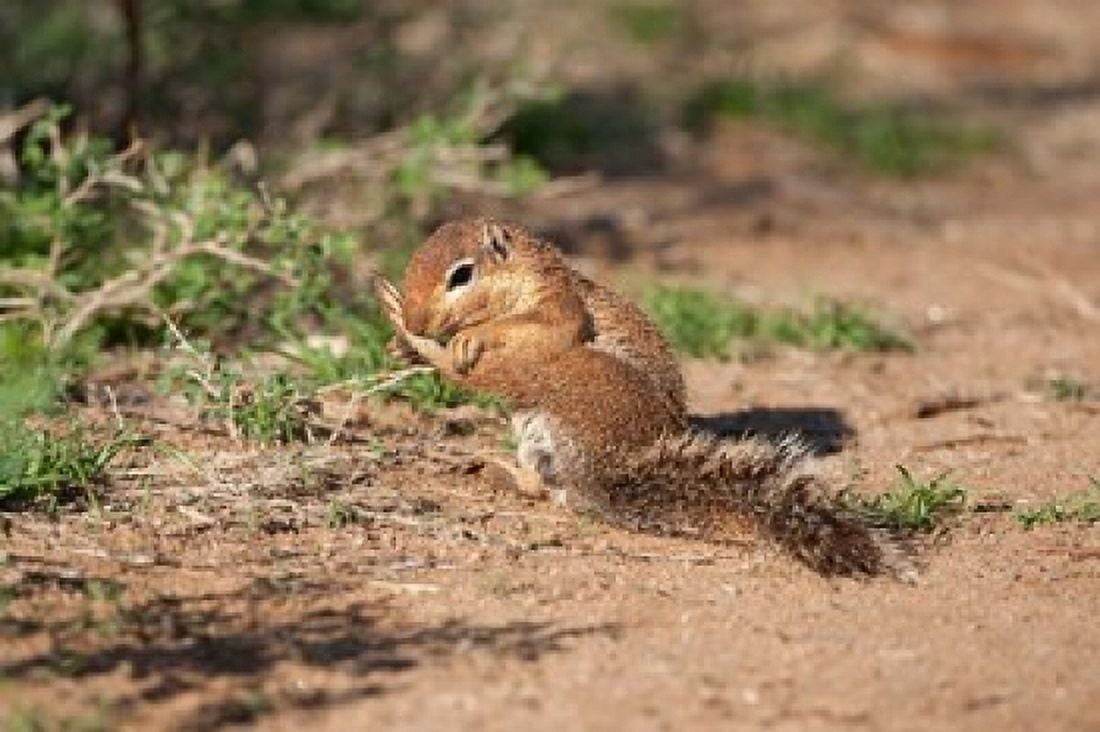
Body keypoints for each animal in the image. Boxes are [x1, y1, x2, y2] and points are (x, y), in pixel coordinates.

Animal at [371, 218, 912, 578]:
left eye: (462, 274)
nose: (419, 318)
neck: (527, 268)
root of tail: (615, 464)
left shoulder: (560, 306)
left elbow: (537, 325)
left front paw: (460, 337)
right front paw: (400, 346)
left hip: (566, 372)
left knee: (500, 387)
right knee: (546, 487)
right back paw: (495, 466)